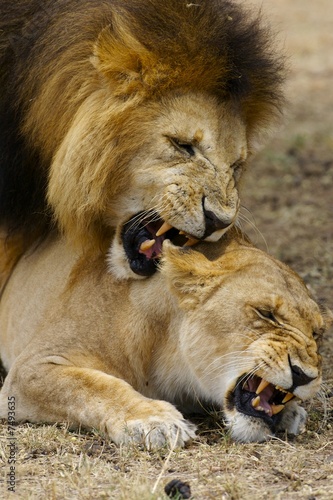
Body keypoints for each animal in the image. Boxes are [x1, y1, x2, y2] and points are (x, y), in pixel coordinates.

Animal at [0, 229, 328, 448]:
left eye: (317, 333)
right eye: (266, 313)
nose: (304, 375)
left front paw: (290, 413)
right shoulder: (32, 369)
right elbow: (92, 386)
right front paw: (154, 421)